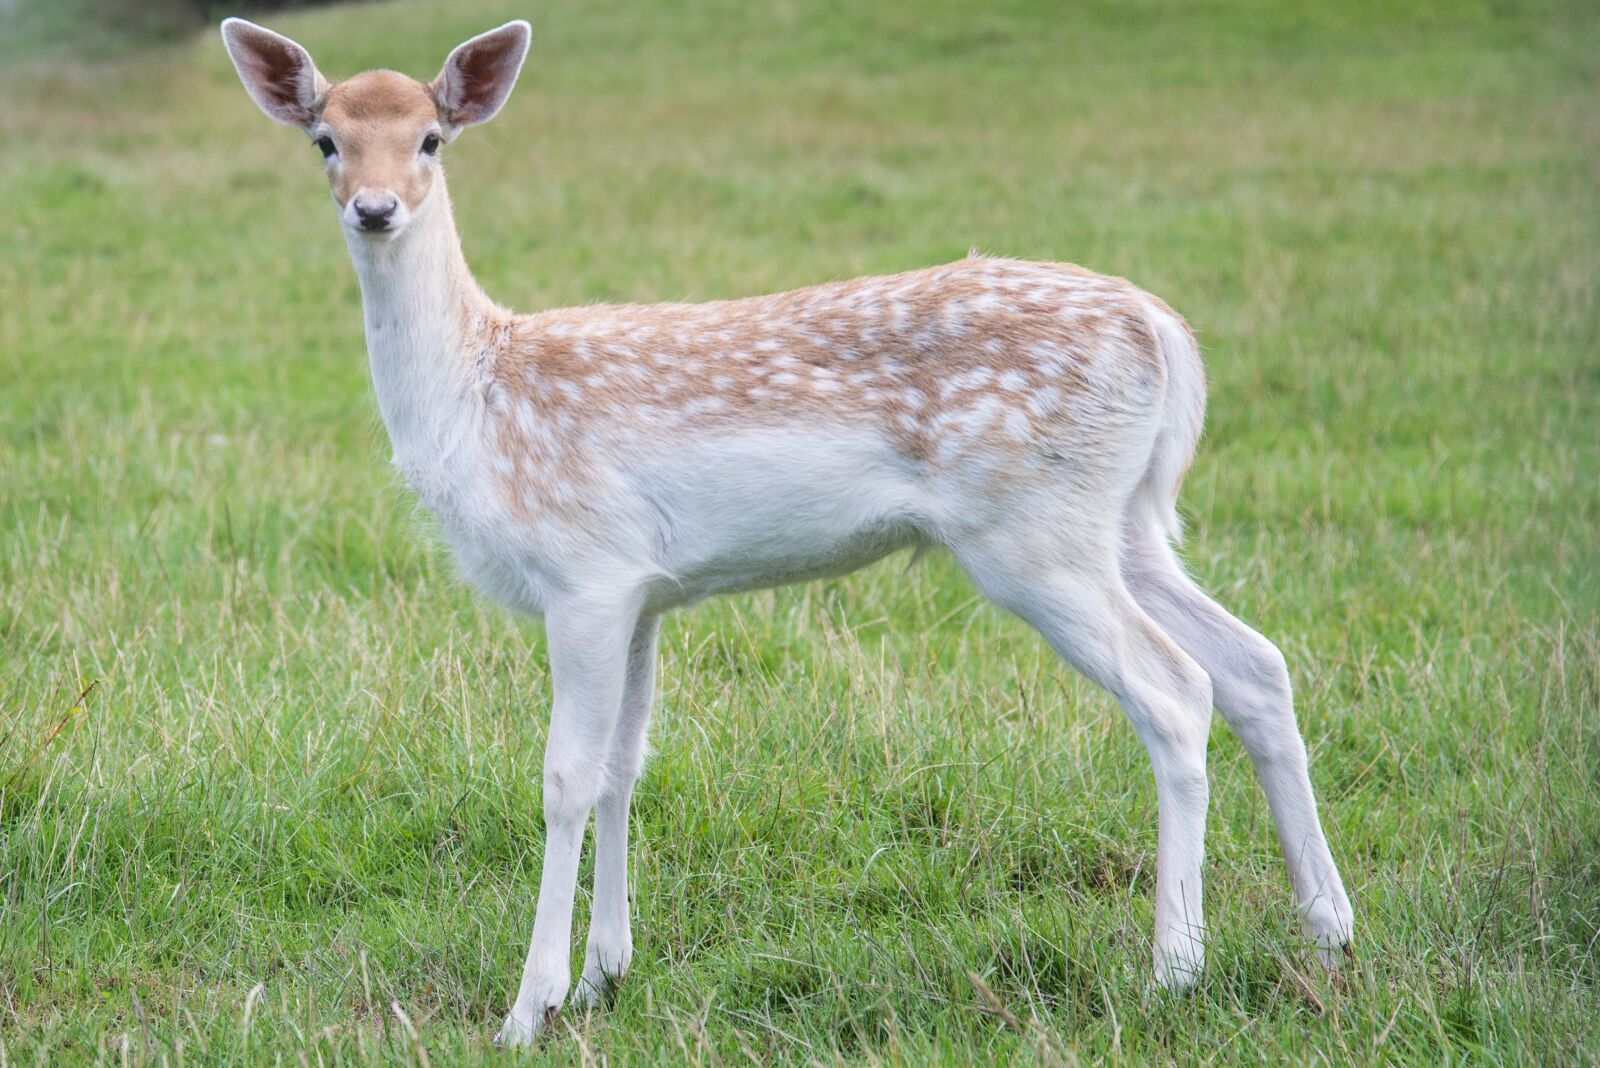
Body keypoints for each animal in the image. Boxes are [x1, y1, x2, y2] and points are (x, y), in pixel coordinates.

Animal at [220, 17, 1354, 1044]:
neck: (476, 400)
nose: (373, 209)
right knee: (1255, 663)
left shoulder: (582, 572)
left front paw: (528, 1007)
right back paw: (1329, 927)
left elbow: (563, 778)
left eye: (430, 139)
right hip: (1126, 521)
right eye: (324, 139)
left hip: (1032, 530)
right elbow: (628, 763)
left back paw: (1173, 969)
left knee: (1175, 691)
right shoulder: (644, 589)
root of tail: (1165, 333)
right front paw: (605, 976)